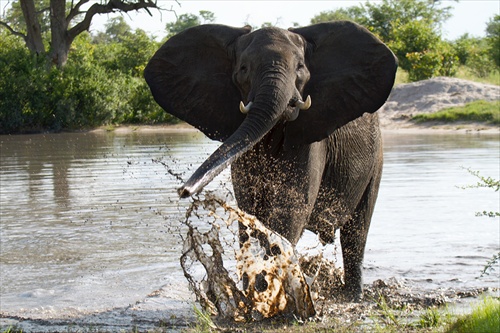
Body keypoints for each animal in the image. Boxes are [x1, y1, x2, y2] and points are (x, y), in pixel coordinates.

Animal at [145, 21, 398, 300]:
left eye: (300, 67)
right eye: (244, 69)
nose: (183, 191)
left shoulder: (310, 140)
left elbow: (289, 212)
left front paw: (270, 296)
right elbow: (249, 214)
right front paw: (253, 295)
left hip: (376, 157)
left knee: (357, 231)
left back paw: (351, 297)